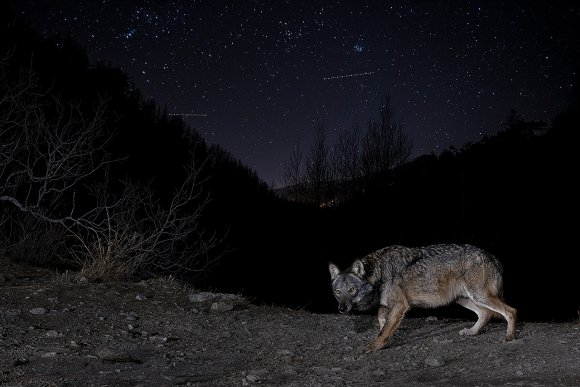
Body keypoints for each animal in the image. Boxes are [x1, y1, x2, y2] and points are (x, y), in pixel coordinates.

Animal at [328, 246, 520, 354]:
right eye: (337, 292)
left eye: (352, 290)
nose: (342, 308)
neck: (379, 272)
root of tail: (491, 256)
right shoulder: (389, 305)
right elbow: (381, 318)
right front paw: (385, 337)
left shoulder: (400, 306)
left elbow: (383, 331)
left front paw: (373, 347)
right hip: (463, 299)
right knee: (486, 314)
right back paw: (472, 332)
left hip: (479, 296)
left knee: (510, 311)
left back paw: (509, 337)